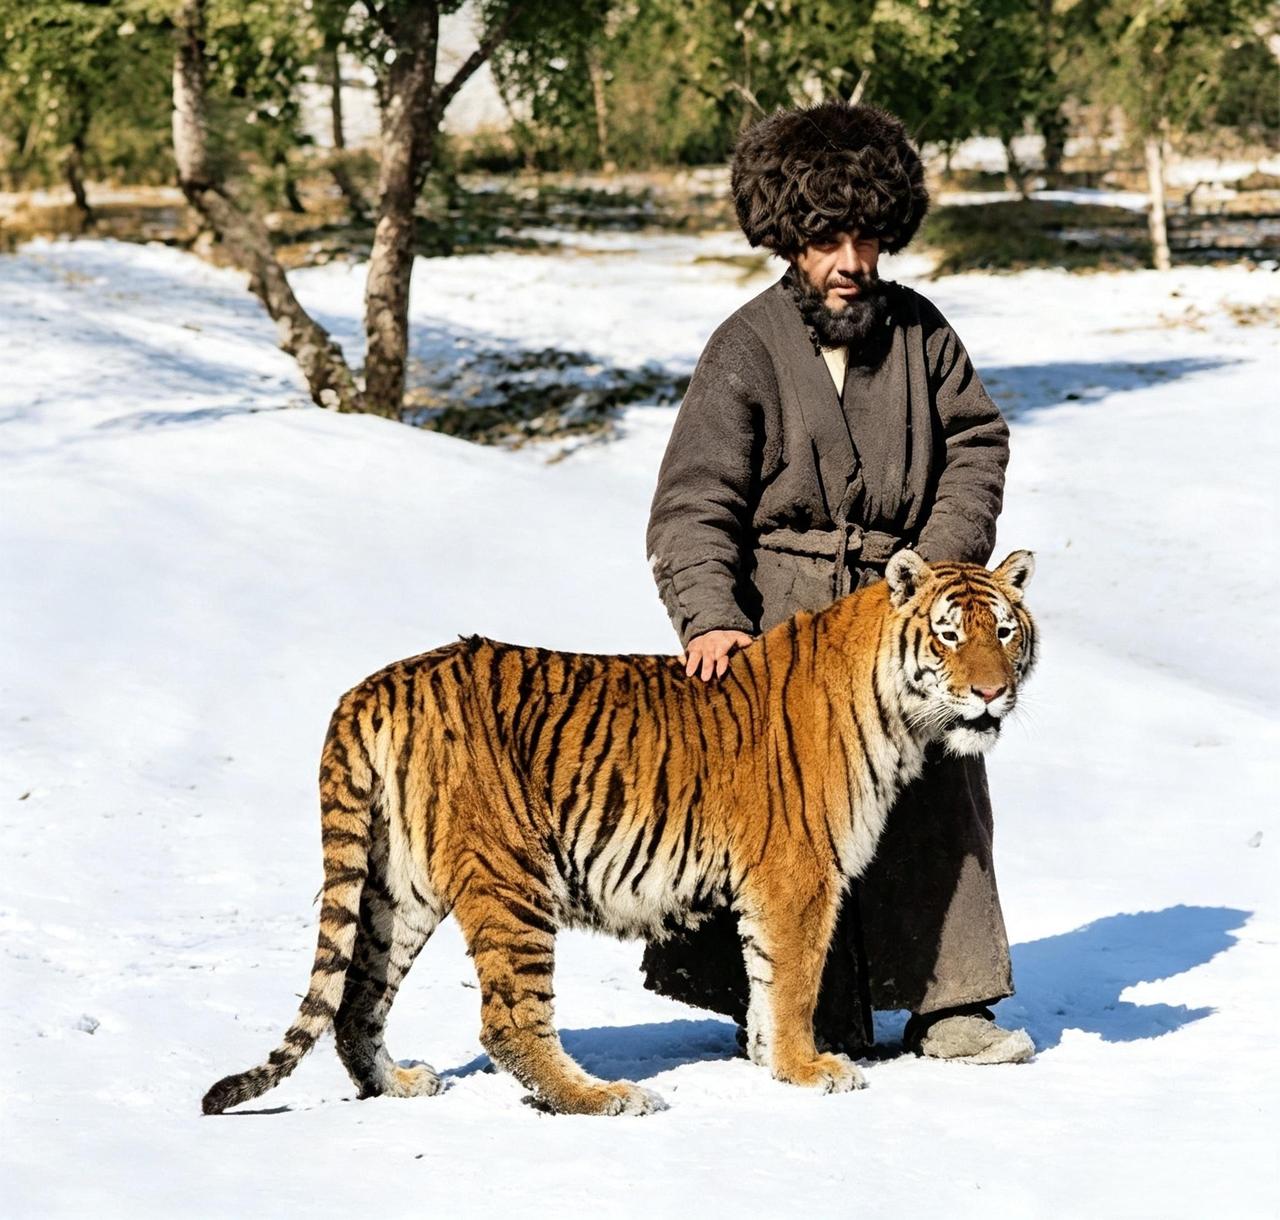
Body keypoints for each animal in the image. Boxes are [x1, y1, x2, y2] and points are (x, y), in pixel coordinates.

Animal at [202, 547, 1036, 1117]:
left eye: (1004, 632)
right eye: (949, 636)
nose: (991, 693)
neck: (896, 710)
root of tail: (371, 688)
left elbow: (767, 981)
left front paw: (772, 1061)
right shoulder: (799, 874)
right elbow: (794, 981)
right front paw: (809, 1069)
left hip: (396, 887)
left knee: (355, 1002)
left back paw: (400, 1084)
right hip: (512, 876)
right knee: (508, 1020)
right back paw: (604, 1098)